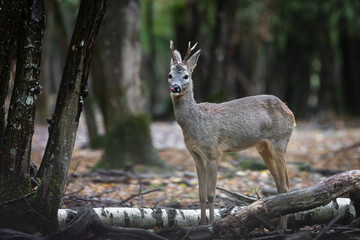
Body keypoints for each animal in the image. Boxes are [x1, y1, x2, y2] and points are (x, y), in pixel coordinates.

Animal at [169, 40, 296, 228]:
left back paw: (283, 228)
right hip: (263, 147)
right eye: (170, 75)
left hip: (279, 140)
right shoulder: (195, 154)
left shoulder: (213, 151)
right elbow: (200, 194)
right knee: (280, 185)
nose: (175, 87)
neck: (195, 122)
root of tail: (291, 113)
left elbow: (211, 194)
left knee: (286, 184)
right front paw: (201, 224)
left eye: (186, 76)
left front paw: (211, 225)